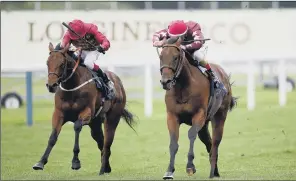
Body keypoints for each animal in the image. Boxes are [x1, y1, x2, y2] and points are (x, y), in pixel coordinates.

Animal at [32, 42, 136, 175]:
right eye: (47, 62)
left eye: (62, 64)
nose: (51, 85)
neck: (72, 87)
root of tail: (118, 81)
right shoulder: (59, 113)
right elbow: (53, 137)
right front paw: (40, 162)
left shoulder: (86, 112)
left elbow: (77, 127)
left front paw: (75, 162)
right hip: (95, 124)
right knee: (101, 142)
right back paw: (106, 167)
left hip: (112, 118)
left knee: (107, 143)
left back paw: (102, 170)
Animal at [157, 37, 238, 179]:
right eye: (161, 56)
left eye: (176, 57)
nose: (165, 82)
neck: (183, 88)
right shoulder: (172, 116)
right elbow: (173, 143)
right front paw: (169, 171)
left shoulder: (199, 115)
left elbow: (191, 135)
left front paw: (190, 167)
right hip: (204, 125)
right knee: (209, 143)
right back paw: (215, 171)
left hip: (219, 117)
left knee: (215, 143)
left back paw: (212, 172)